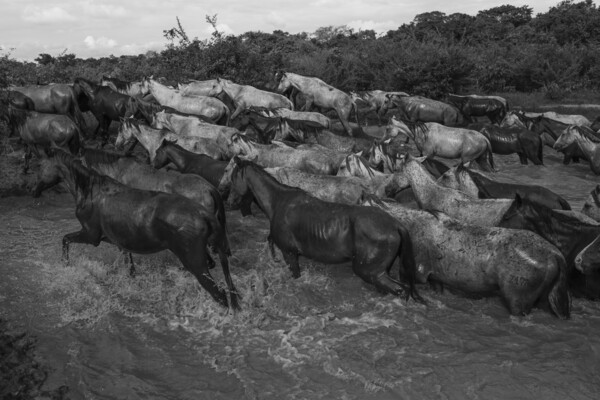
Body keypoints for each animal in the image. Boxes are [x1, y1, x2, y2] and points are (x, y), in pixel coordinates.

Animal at [227, 156, 424, 300]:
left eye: (233, 177)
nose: (229, 202)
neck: (279, 202)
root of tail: (396, 225)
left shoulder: (289, 253)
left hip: (371, 272)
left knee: (401, 289)